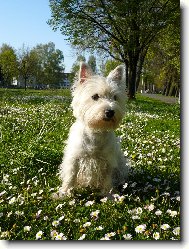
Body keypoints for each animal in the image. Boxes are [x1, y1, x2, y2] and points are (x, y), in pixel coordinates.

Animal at [58, 62, 127, 196]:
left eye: (115, 97)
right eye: (95, 96)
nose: (110, 112)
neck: (96, 132)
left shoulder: (108, 160)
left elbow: (107, 177)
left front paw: (109, 194)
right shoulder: (74, 158)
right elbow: (71, 175)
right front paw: (65, 192)